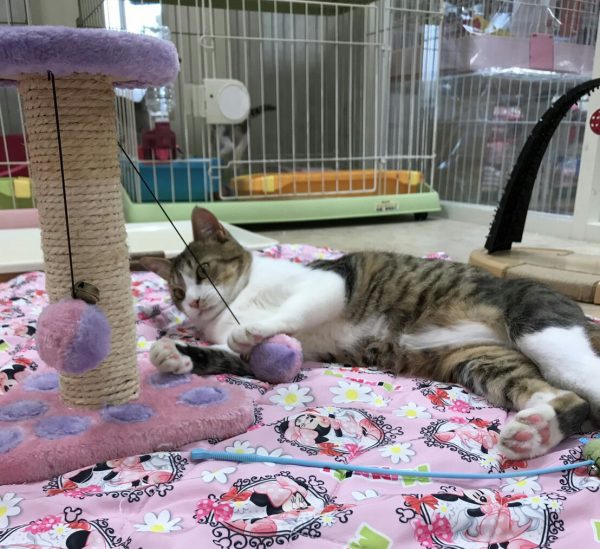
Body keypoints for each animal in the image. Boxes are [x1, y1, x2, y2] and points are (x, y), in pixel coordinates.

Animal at [140, 207, 600, 460]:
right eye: (177, 292)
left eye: (205, 271)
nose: (193, 301)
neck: (238, 299)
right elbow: (227, 353)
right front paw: (175, 354)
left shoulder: (331, 282)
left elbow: (287, 313)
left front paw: (251, 327)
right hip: (482, 360)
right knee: (568, 399)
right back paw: (535, 432)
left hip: (540, 329)